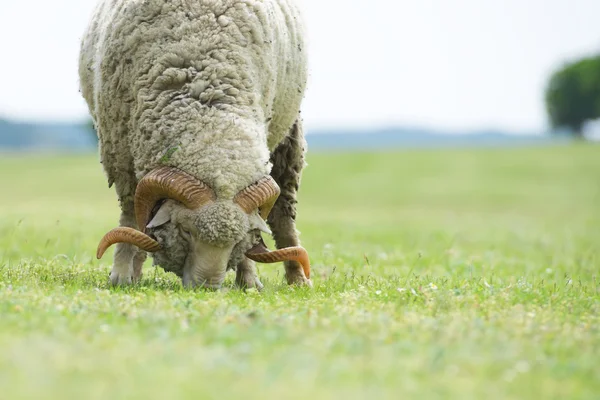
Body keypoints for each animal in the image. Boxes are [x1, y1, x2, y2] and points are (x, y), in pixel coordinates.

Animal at [79, 0, 312, 290]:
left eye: (236, 241)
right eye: (186, 231)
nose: (207, 287)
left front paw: (248, 280)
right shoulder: (120, 153)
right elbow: (131, 216)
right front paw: (121, 274)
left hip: (288, 138)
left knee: (283, 216)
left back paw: (298, 279)